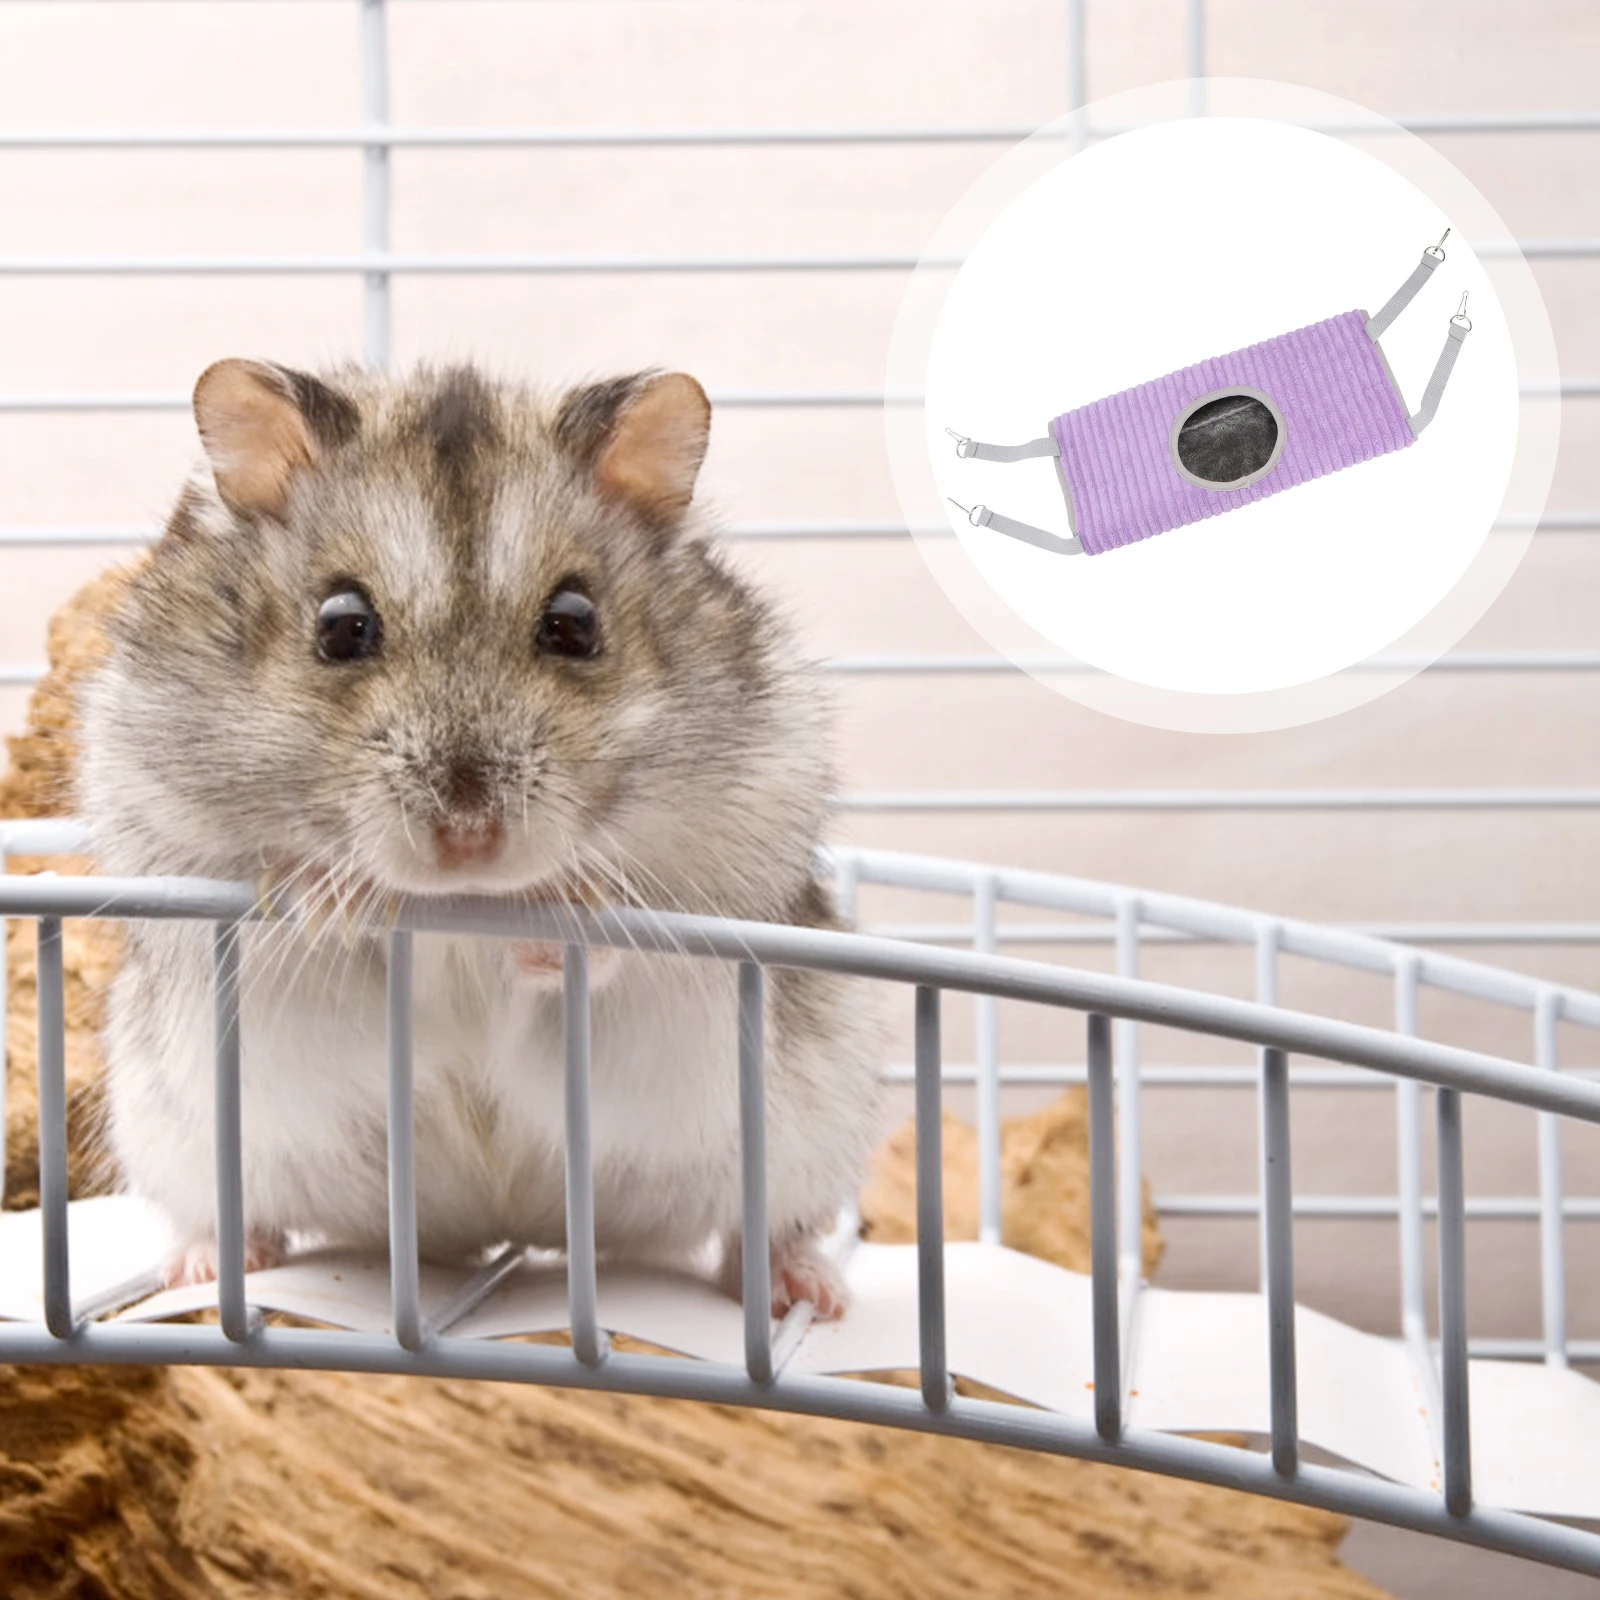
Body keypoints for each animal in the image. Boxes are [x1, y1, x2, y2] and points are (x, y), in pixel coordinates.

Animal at [77, 358, 885, 1317]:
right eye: (340, 624)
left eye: (575, 621)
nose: (468, 837)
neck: (464, 907)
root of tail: (504, 1234)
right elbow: (295, 913)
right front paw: (331, 893)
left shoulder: (727, 869)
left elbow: (622, 944)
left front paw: (564, 907)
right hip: (175, 1134)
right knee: (228, 1215)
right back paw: (205, 1265)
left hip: (809, 1135)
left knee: (762, 1232)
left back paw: (807, 1291)